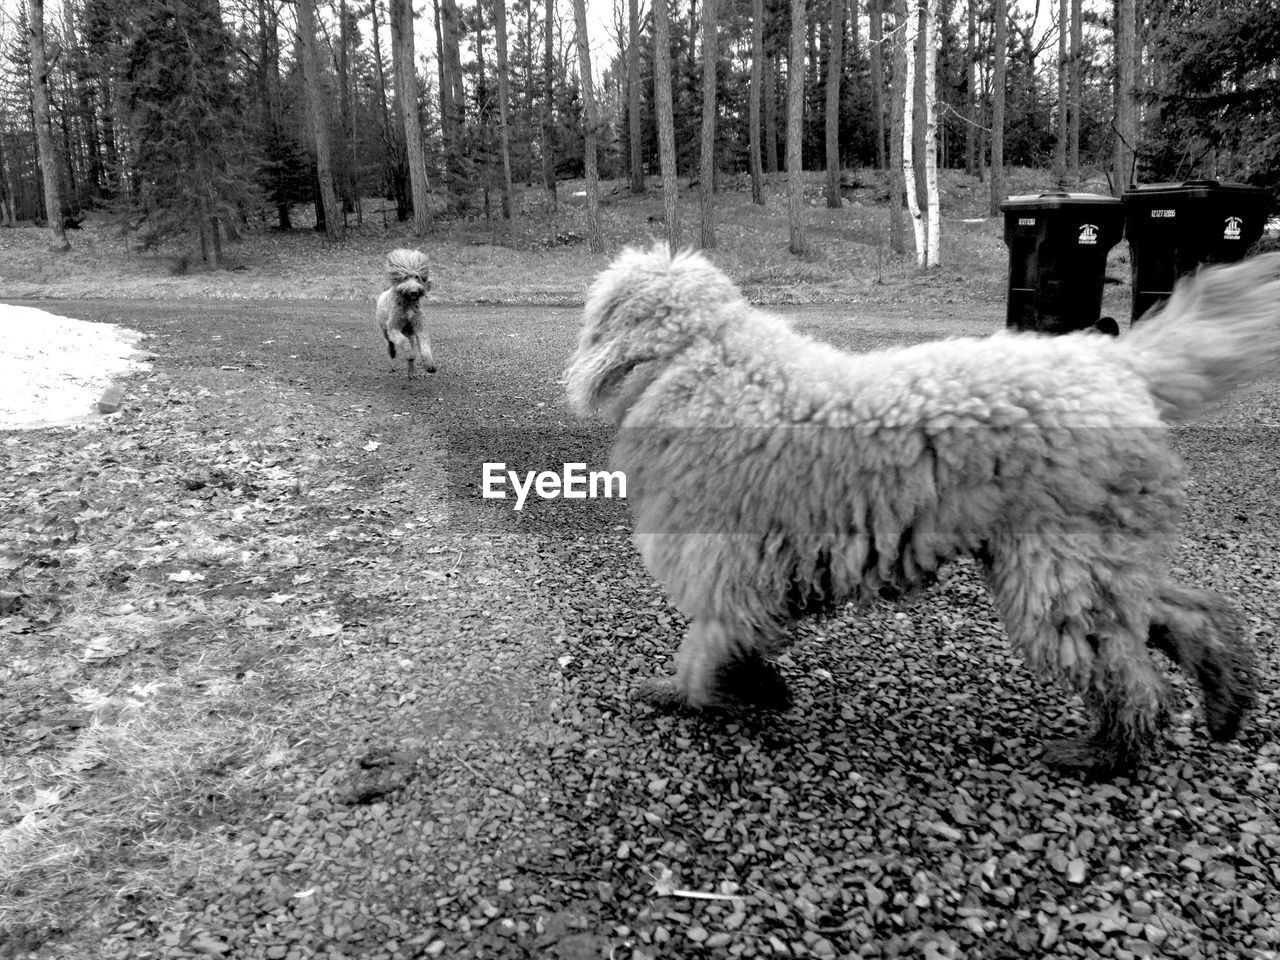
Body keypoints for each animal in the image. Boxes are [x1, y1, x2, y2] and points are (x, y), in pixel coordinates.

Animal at [376, 248, 437, 378]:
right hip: (384, 328)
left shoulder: (420, 326)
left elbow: (425, 345)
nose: (414, 292)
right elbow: (403, 342)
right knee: (389, 341)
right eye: (405, 278)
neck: (408, 304)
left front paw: (429, 364)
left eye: (417, 277)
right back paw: (393, 353)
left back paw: (411, 371)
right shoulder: (394, 328)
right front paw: (409, 354)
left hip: (409, 333)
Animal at [570, 244, 1280, 778]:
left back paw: (1106, 754)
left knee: (1130, 675)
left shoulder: (727, 567)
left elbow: (702, 651)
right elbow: (729, 643)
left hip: (1060, 568)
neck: (705, 360)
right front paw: (757, 686)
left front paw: (693, 694)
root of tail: (1117, 364)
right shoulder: (754, 578)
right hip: (1094, 558)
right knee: (1185, 615)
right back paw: (1227, 698)